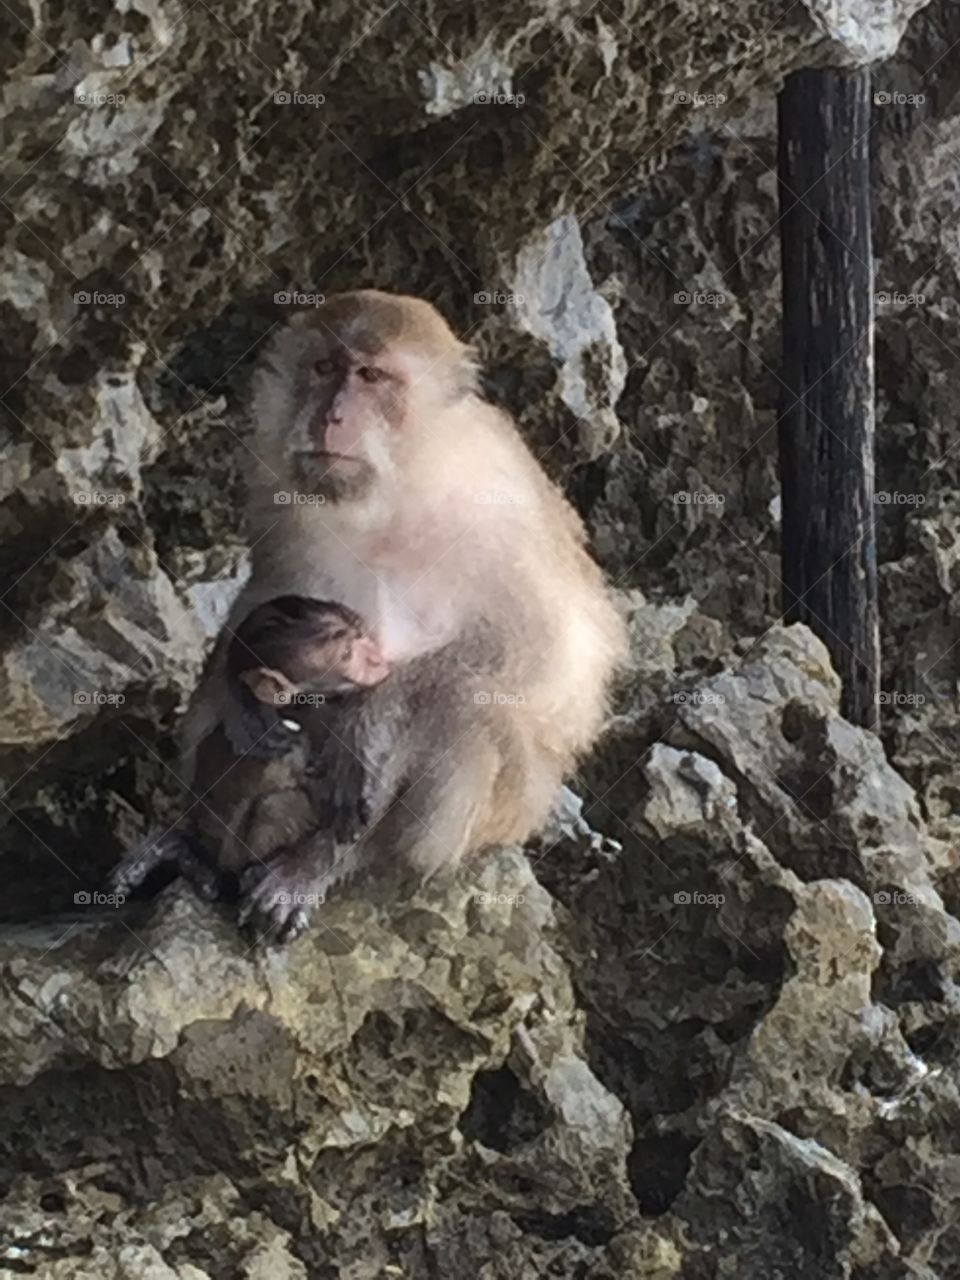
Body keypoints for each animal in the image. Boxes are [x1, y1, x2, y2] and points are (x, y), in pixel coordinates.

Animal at [180, 289, 627, 913]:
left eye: (371, 376)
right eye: (325, 368)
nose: (331, 415)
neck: (399, 486)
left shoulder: (501, 508)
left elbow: (535, 650)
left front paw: (364, 717)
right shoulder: (279, 489)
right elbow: (271, 593)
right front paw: (246, 690)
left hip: (507, 809)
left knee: (468, 706)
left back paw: (326, 861)